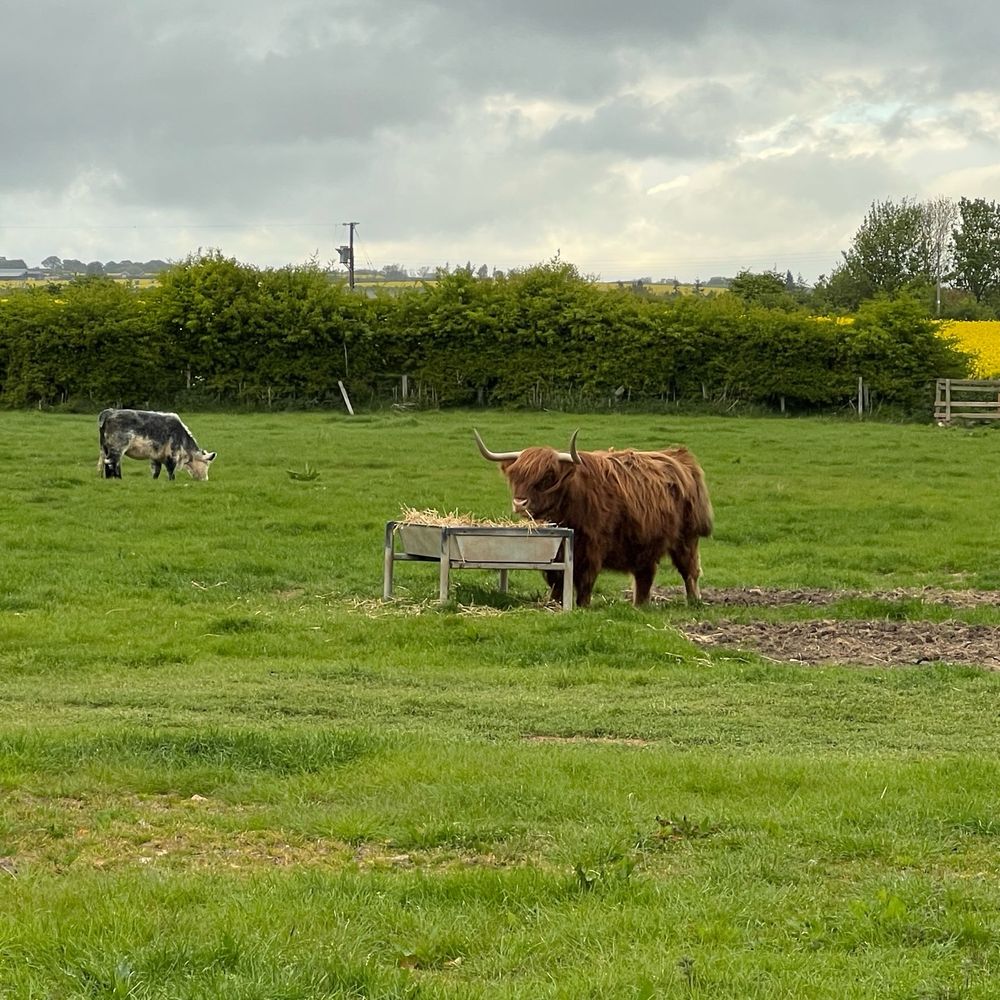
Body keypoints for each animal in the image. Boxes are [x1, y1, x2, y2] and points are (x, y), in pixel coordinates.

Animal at [474, 428, 712, 607]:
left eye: (547, 476)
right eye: (515, 476)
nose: (519, 503)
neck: (569, 505)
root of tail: (677, 456)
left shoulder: (592, 546)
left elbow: (585, 581)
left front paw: (582, 606)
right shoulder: (559, 551)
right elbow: (557, 581)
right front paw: (554, 603)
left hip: (687, 537)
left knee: (689, 570)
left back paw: (693, 601)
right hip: (645, 542)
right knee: (645, 574)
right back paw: (639, 605)